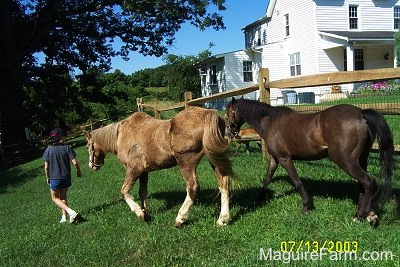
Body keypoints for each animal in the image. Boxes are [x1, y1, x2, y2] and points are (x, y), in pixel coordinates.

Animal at [85, 107, 234, 228]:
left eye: (88, 147)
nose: (92, 166)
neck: (120, 135)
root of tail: (207, 113)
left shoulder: (134, 169)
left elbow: (124, 192)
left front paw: (139, 213)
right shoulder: (144, 172)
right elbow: (142, 192)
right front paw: (145, 212)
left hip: (186, 163)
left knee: (193, 187)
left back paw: (180, 218)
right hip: (214, 159)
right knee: (223, 184)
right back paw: (223, 219)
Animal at [227, 97, 396, 227]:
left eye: (229, 113)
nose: (229, 132)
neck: (271, 123)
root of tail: (361, 114)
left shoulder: (284, 158)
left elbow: (297, 181)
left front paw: (307, 206)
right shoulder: (275, 159)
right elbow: (267, 178)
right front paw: (260, 198)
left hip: (345, 161)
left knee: (368, 182)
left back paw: (365, 215)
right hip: (360, 160)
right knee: (363, 185)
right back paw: (362, 214)